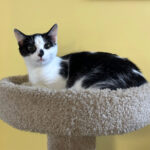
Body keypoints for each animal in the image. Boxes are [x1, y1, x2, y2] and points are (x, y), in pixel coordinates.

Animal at [14, 23, 148, 89]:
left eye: (47, 45)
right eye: (31, 48)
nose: (41, 53)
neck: (39, 71)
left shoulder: (58, 86)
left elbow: (44, 88)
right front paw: (25, 84)